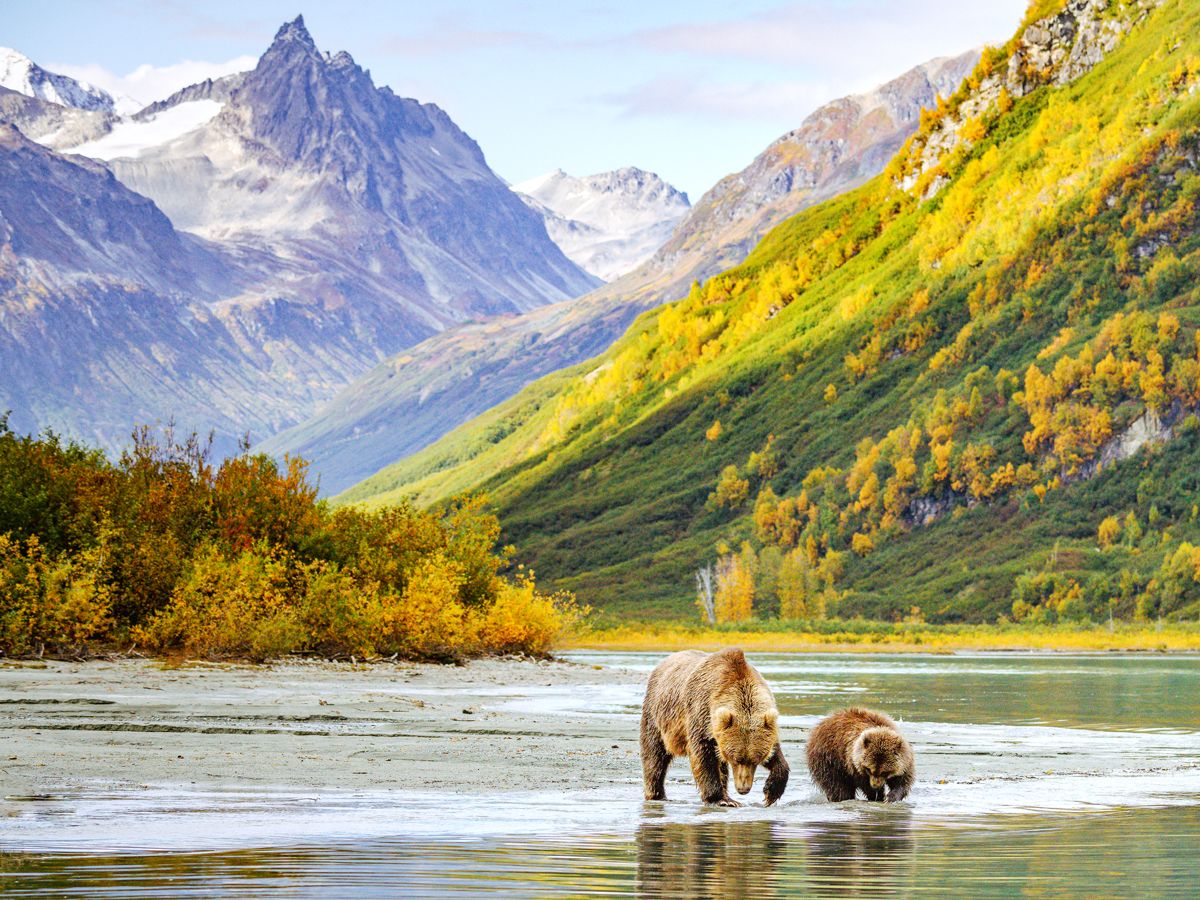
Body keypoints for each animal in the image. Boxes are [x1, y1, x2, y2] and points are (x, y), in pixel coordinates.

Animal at [640, 648, 789, 807]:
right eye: (736, 759)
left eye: (756, 759)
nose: (743, 789)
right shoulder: (700, 715)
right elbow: (703, 756)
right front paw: (721, 799)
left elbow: (776, 754)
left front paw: (771, 792)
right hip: (656, 713)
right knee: (654, 754)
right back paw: (657, 794)